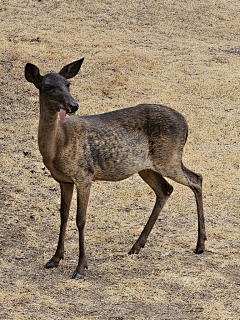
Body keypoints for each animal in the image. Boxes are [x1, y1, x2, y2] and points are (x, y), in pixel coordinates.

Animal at [25, 58, 207, 278]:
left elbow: (80, 219)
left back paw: (200, 244)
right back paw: (136, 246)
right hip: (146, 166)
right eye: (47, 86)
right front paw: (54, 259)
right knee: (166, 189)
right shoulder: (64, 180)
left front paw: (80, 267)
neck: (58, 145)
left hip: (169, 157)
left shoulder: (84, 174)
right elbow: (63, 215)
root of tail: (186, 123)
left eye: (68, 84)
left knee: (196, 178)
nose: (73, 105)